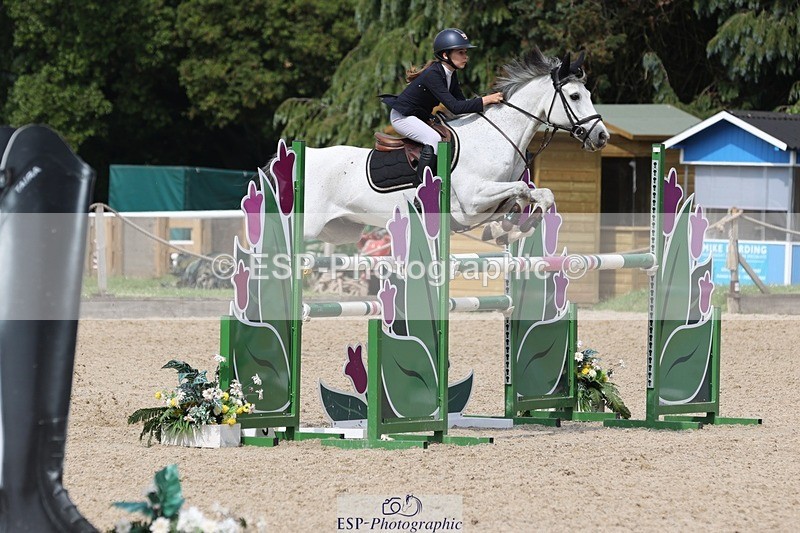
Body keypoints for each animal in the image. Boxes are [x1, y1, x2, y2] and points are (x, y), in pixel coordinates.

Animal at [297, 48, 609, 244]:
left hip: (339, 230)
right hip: (310, 226)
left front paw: (512, 229)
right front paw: (511, 228)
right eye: (575, 95)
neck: (495, 138)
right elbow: (521, 188)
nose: (601, 136)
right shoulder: (472, 201)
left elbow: (540, 194)